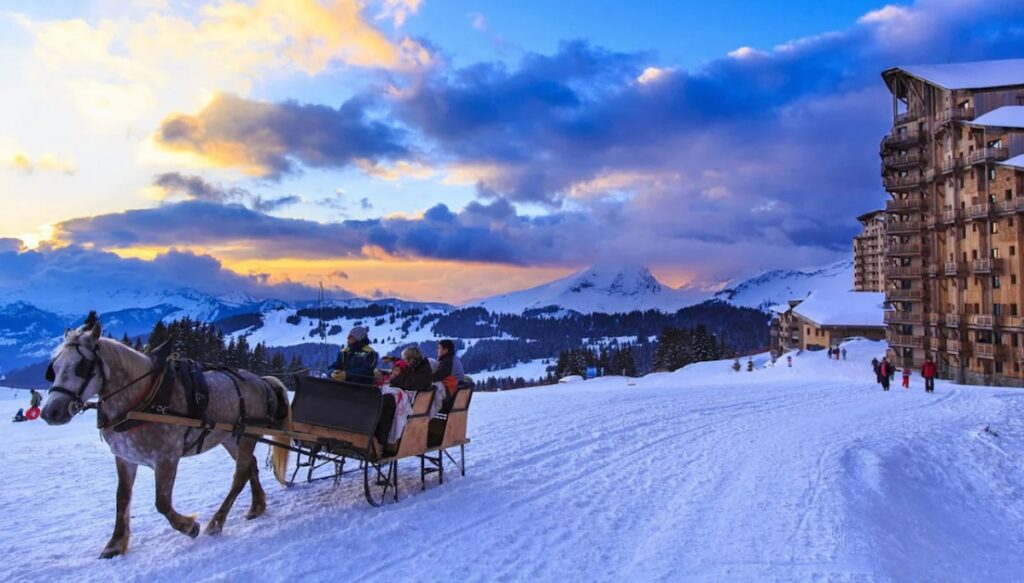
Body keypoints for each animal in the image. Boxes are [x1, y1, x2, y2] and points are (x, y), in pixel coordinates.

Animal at [41, 313, 292, 557]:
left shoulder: (166, 458)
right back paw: (256, 507)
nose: (50, 412)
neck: (143, 398)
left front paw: (189, 526)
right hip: (232, 438)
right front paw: (115, 544)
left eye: (82, 366)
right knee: (251, 466)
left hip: (247, 436)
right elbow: (122, 498)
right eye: (54, 367)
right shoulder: (125, 458)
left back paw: (216, 522)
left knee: (239, 476)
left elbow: (161, 502)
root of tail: (262, 380)